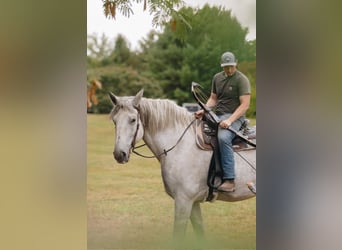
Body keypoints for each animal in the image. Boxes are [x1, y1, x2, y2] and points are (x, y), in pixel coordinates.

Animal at [108, 89, 255, 248]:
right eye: (114, 120)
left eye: (133, 120)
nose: (119, 154)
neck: (180, 145)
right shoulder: (193, 203)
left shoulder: (183, 201)